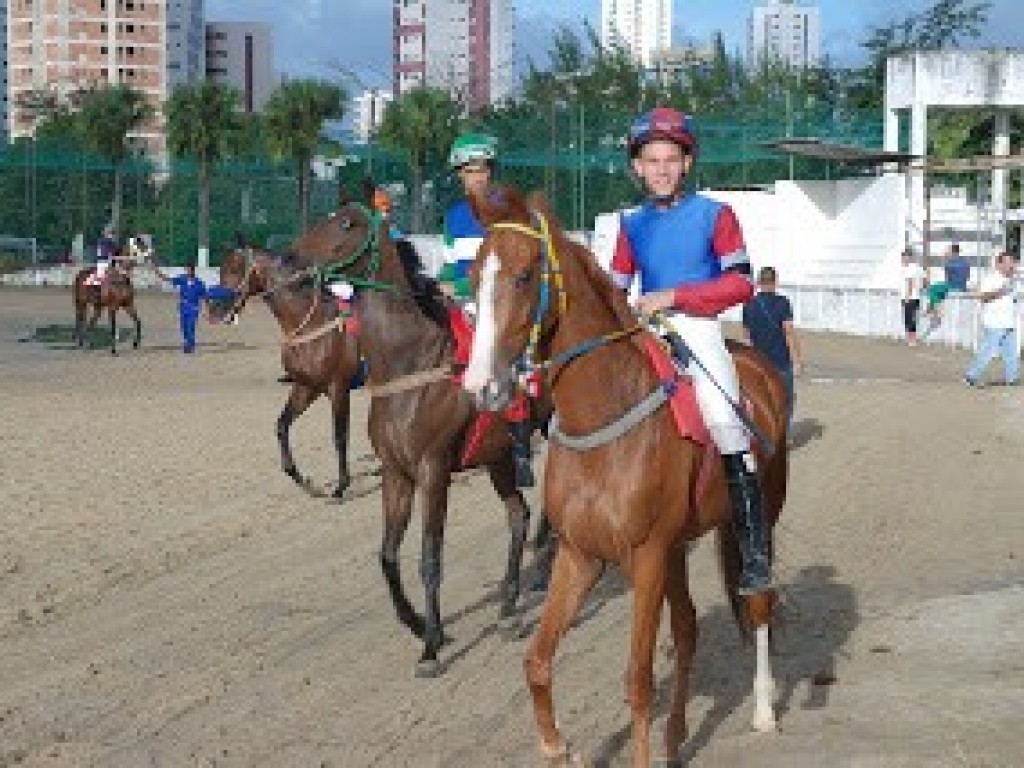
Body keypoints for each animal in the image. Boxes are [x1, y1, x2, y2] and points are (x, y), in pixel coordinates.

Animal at [211, 246, 364, 499]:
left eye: (234, 269)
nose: (213, 308)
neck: (313, 323)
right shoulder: (307, 387)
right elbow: (282, 426)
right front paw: (301, 478)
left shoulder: (339, 388)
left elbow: (340, 437)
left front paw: (341, 485)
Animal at [278, 196, 552, 671]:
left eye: (347, 223)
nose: (290, 258)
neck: (409, 365)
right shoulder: (396, 472)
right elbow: (388, 557)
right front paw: (420, 624)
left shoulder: (433, 471)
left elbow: (429, 557)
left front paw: (431, 646)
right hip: (500, 457)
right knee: (518, 515)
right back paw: (508, 607)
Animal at [464, 188, 790, 768]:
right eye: (475, 274)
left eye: (524, 276)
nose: (481, 387)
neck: (601, 422)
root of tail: (758, 367)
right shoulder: (581, 555)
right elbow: (537, 661)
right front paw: (556, 746)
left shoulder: (647, 557)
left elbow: (637, 681)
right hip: (681, 546)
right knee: (688, 629)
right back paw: (676, 738)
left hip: (758, 522)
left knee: (758, 604)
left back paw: (763, 710)